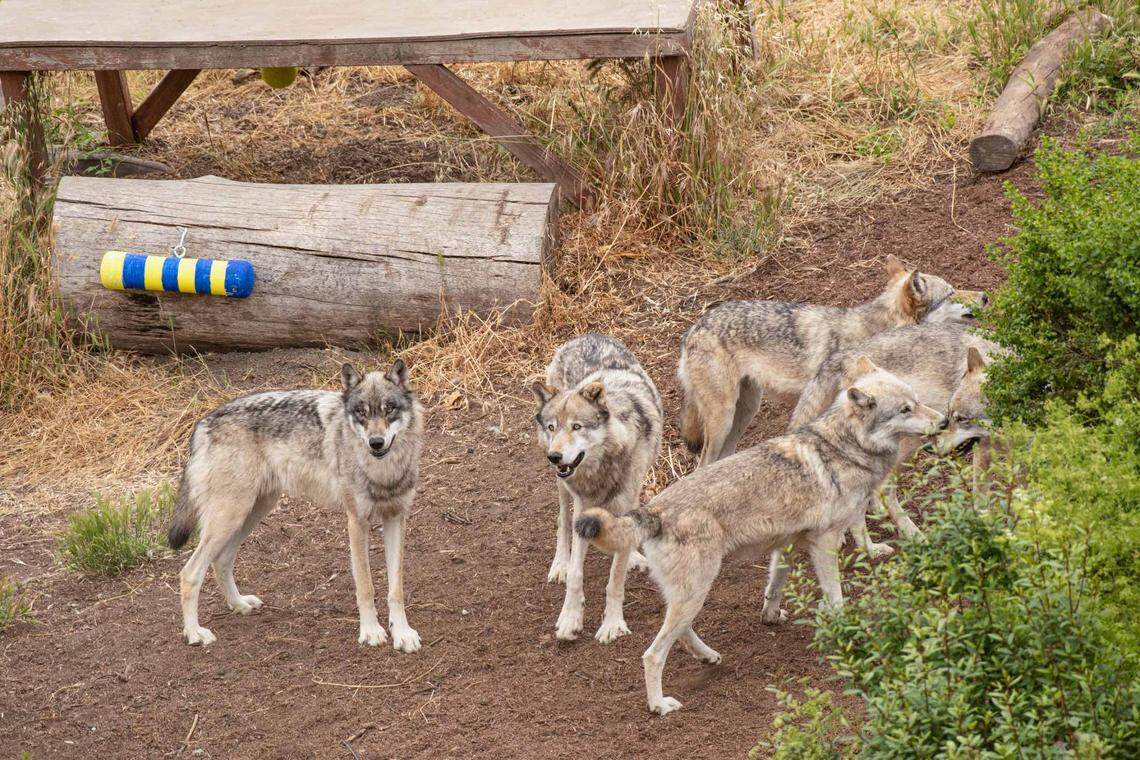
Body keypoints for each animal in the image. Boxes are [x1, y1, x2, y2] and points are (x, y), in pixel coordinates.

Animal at [167, 359, 424, 653]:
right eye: (361, 412)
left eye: (389, 409)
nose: (376, 442)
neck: (383, 472)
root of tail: (202, 423)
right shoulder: (356, 522)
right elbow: (366, 586)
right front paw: (370, 632)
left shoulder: (395, 518)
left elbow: (396, 588)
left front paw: (402, 633)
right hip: (230, 518)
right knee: (189, 574)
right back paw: (194, 633)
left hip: (251, 513)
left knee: (221, 561)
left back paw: (239, 604)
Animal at [531, 333, 663, 643]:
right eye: (553, 427)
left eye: (577, 427)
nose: (554, 457)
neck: (601, 469)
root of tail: (587, 335)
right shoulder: (582, 510)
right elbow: (576, 575)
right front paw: (570, 619)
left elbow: (615, 581)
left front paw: (612, 624)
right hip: (562, 487)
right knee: (562, 521)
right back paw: (560, 564)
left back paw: (633, 556)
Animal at [575, 360, 944, 715]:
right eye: (906, 409)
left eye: (917, 401)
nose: (943, 421)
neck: (845, 446)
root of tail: (653, 510)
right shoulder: (824, 543)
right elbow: (836, 597)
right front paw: (846, 631)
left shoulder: (790, 544)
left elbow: (775, 586)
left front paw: (770, 616)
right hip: (697, 590)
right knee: (653, 655)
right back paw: (659, 705)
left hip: (689, 594)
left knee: (681, 633)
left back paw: (708, 656)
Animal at [678, 255, 984, 466]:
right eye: (951, 293)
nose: (985, 296)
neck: (877, 329)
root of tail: (694, 329)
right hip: (724, 418)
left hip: (744, 412)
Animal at [789, 323, 1001, 556]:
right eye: (954, 416)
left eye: (961, 419)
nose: (931, 448)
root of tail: (846, 354)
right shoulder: (982, 453)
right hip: (908, 444)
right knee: (884, 490)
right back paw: (913, 535)